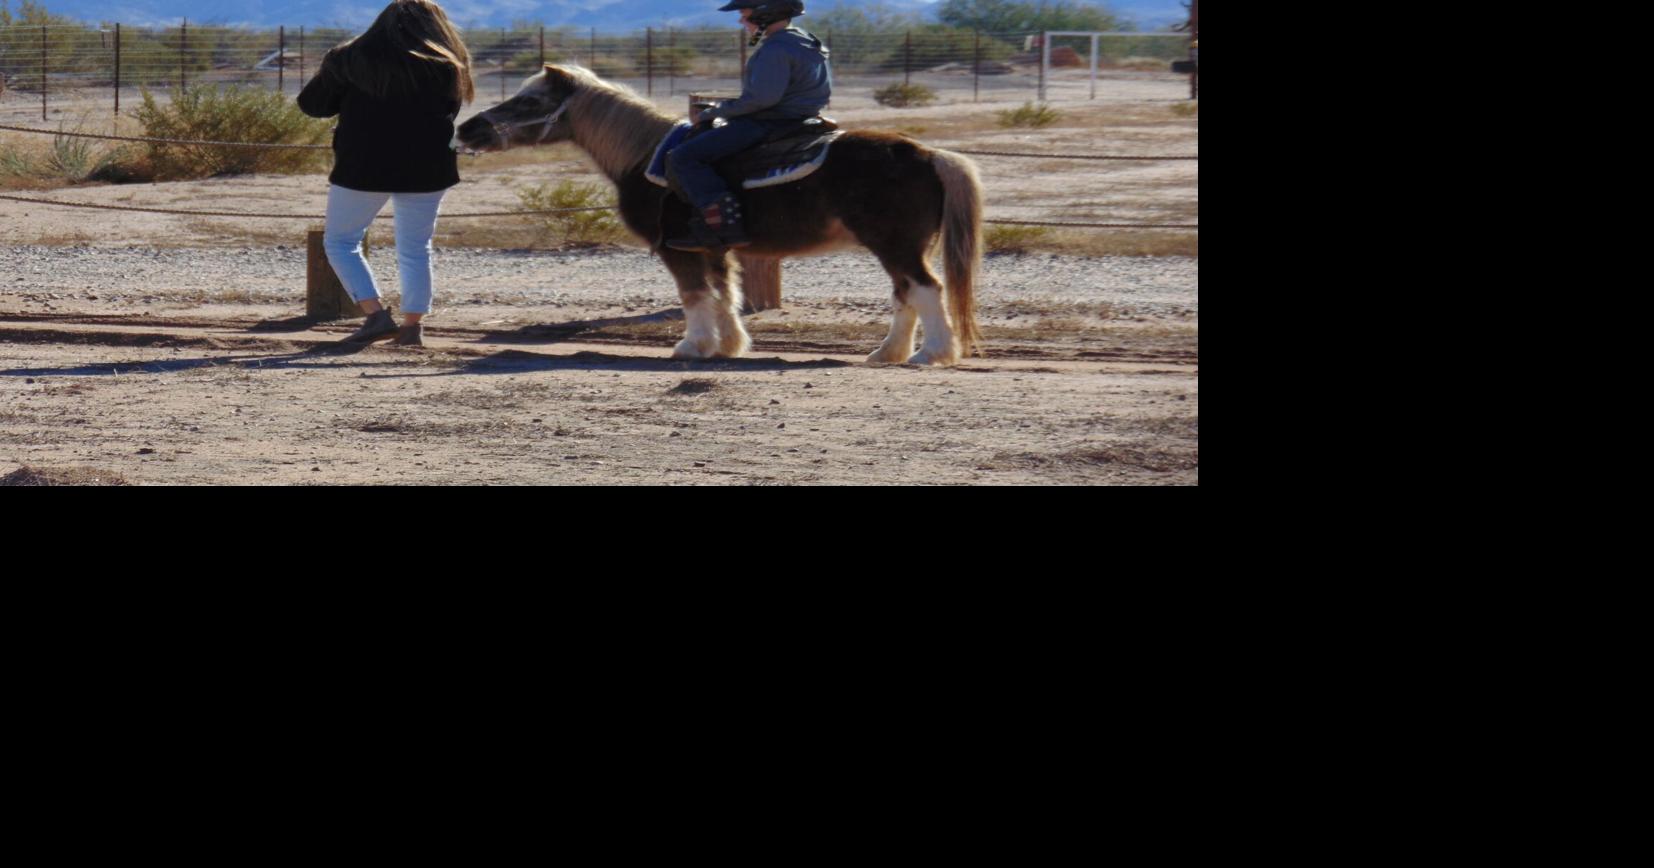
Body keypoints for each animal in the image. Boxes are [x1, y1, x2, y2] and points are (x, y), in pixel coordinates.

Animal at [455, 64, 984, 366]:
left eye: (530, 100)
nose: (468, 128)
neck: (649, 158)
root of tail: (927, 153)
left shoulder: (676, 249)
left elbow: (693, 296)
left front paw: (691, 346)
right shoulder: (714, 247)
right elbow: (724, 294)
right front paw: (728, 345)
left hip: (896, 244)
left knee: (925, 289)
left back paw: (930, 354)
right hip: (897, 246)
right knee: (905, 293)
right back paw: (886, 353)